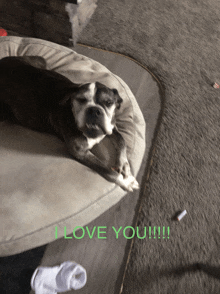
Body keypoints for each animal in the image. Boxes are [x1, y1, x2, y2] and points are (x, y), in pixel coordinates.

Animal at [0, 56, 138, 192]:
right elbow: (107, 171)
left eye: (108, 102)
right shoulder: (80, 152)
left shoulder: (111, 126)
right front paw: (126, 181)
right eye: (81, 100)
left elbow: (121, 140)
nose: (94, 110)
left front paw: (124, 165)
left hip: (41, 62)